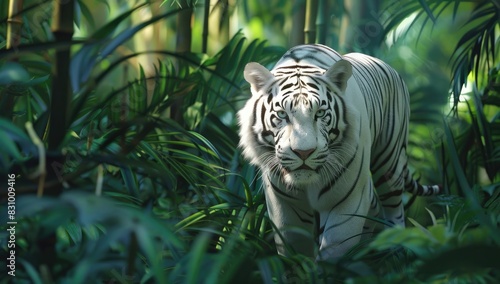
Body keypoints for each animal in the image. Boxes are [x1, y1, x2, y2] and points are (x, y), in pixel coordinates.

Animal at [236, 43, 440, 260]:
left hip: (389, 163)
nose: (304, 152)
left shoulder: (346, 199)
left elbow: (335, 248)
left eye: (319, 113)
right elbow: (294, 251)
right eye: (282, 114)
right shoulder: (284, 204)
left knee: (394, 211)